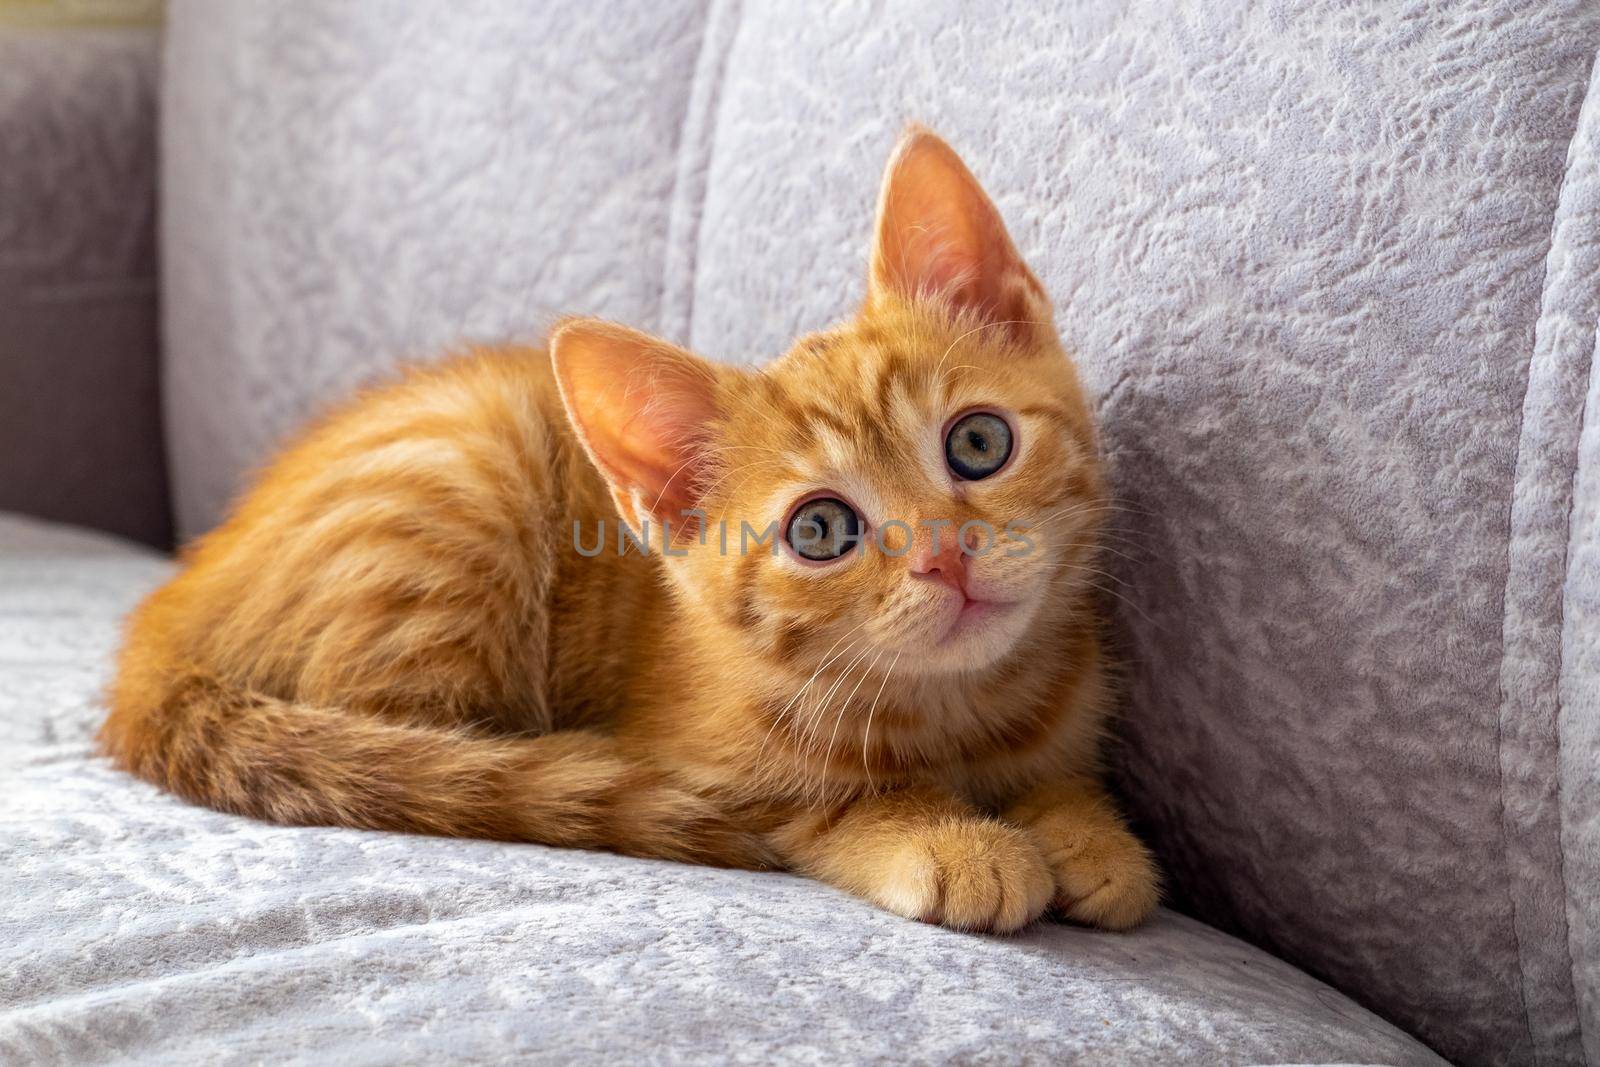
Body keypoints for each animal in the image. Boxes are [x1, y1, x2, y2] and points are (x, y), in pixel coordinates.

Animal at [100, 129, 1158, 927]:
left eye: (978, 442)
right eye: (820, 530)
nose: (945, 554)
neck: (962, 707)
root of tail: (173, 600)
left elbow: (1065, 776)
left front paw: (1087, 832)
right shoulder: (699, 761)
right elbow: (832, 803)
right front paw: (952, 837)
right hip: (469, 479)